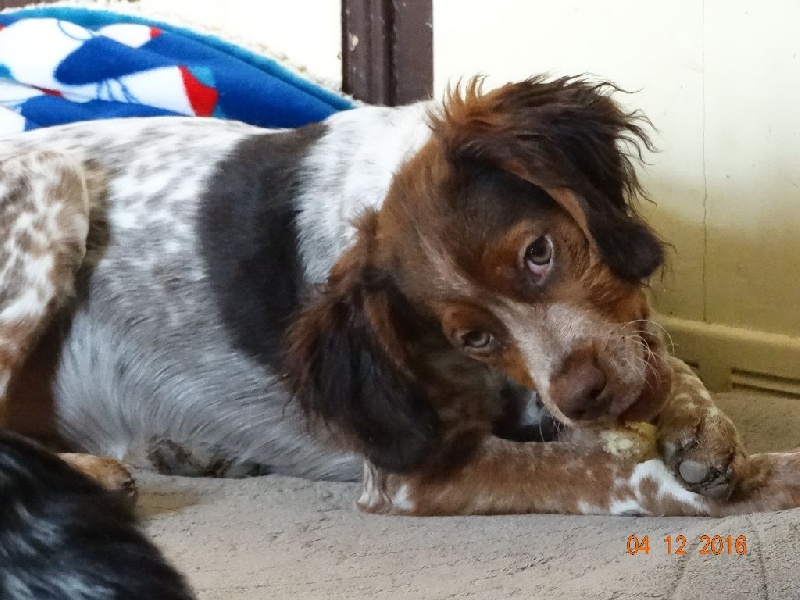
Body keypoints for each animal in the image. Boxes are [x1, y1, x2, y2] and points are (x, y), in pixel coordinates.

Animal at [2, 75, 800, 516]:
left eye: (539, 254)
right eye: (470, 336)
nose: (583, 398)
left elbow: (666, 362)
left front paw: (704, 428)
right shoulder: (412, 472)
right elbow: (625, 473)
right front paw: (769, 479)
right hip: (51, 178)